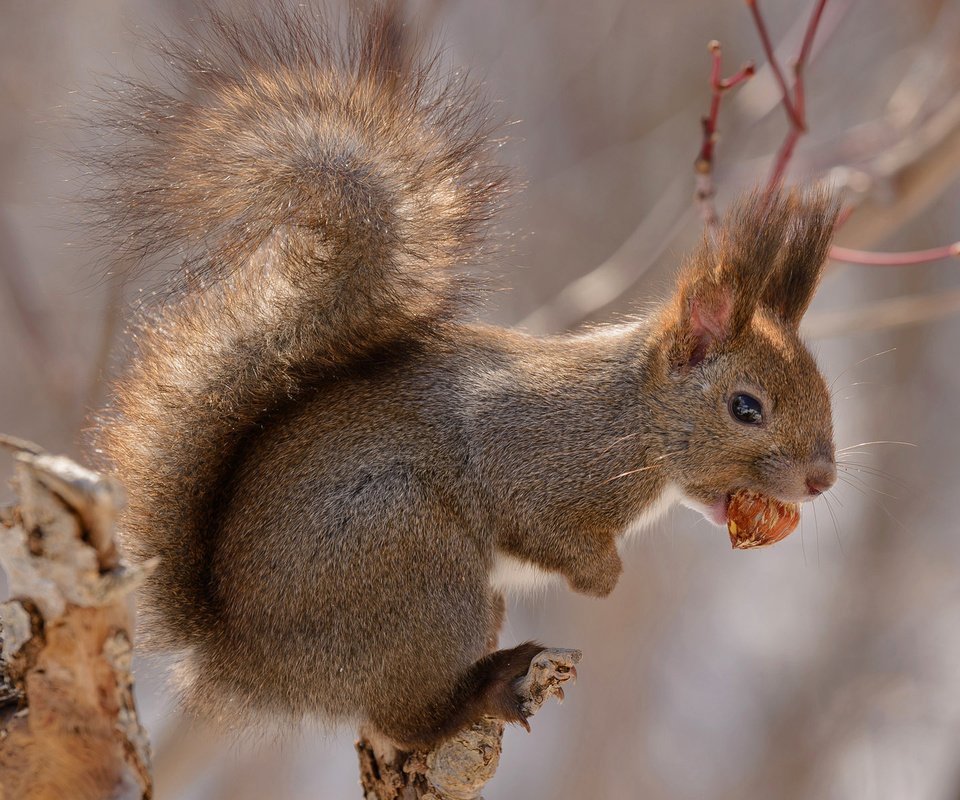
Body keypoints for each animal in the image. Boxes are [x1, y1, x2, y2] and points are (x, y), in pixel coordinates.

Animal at [90, 1, 840, 752]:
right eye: (746, 407)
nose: (822, 481)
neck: (634, 417)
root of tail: (243, 658)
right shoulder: (537, 458)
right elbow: (543, 524)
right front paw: (605, 578)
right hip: (417, 567)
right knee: (407, 720)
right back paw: (485, 690)